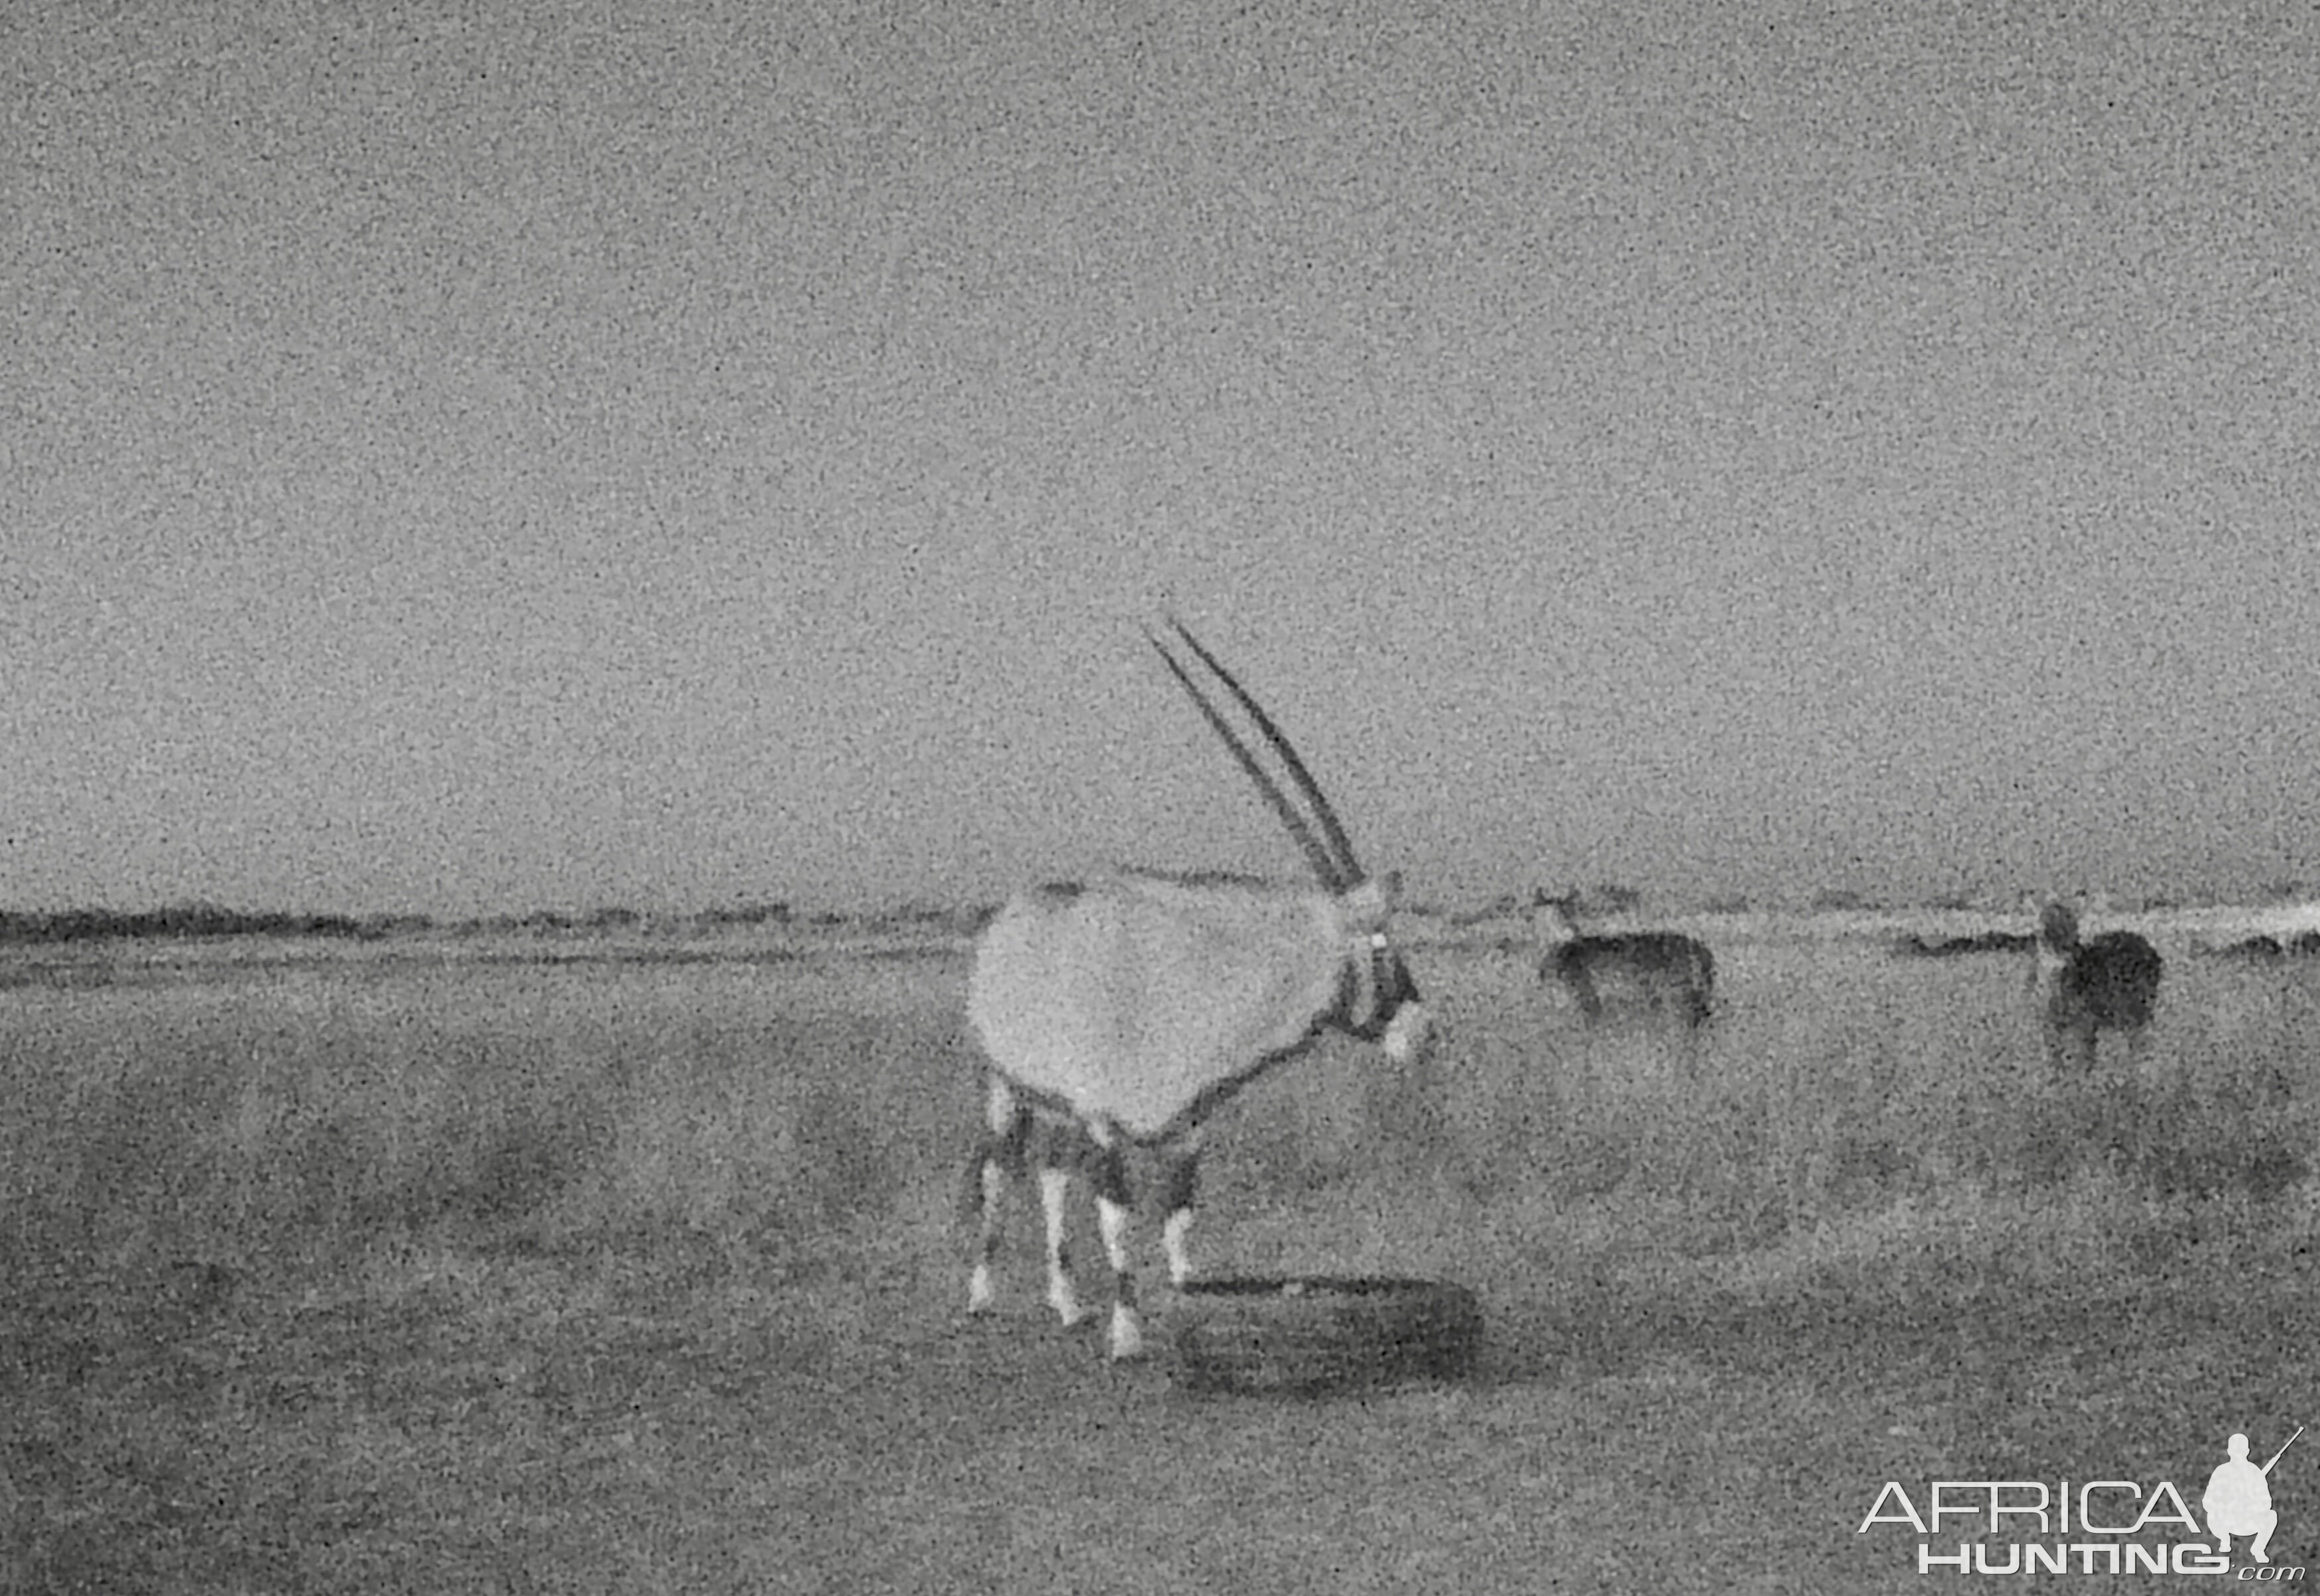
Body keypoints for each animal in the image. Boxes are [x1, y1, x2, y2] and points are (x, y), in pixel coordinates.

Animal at [960, 622, 1429, 1355]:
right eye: (1381, 945)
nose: (1422, 1031)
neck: (1188, 978)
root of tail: (1009, 917)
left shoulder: (1187, 1131)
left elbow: (1178, 1217)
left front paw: (1184, 1295)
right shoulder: (1105, 1125)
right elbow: (1117, 1220)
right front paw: (1128, 1333)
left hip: (1057, 1109)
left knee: (1051, 1175)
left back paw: (1067, 1302)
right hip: (1004, 1088)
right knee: (998, 1168)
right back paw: (982, 1295)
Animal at [2032, 900, 2153, 1072]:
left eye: (2073, 926)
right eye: (2050, 929)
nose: (2072, 947)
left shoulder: (2085, 1021)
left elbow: (2084, 1056)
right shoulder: (2051, 1023)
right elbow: (2058, 1056)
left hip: (2132, 1010)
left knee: (2138, 1039)